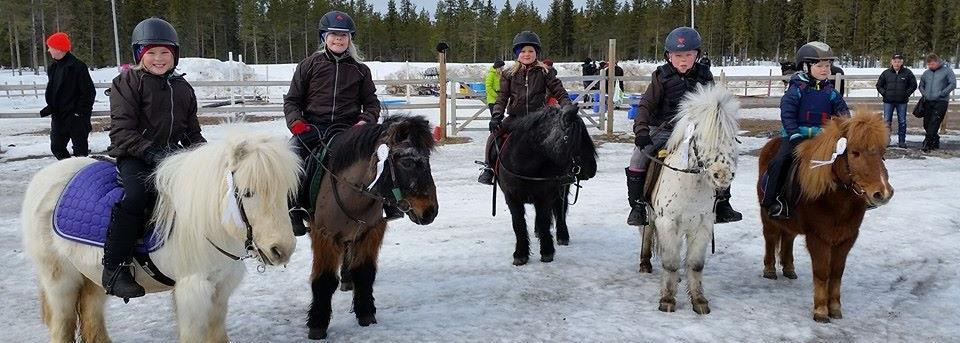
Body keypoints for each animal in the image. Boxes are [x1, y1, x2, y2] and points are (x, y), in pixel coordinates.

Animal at [21, 130, 300, 343]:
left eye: (285, 191)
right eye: (248, 192)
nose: (281, 250)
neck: (205, 223)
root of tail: (45, 177)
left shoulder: (221, 288)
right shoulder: (193, 291)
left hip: (91, 275)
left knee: (91, 316)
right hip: (60, 279)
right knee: (63, 325)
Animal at [306, 116, 436, 342]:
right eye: (407, 162)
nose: (431, 211)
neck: (351, 193)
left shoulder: (371, 232)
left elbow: (365, 273)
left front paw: (366, 313)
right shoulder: (324, 235)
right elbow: (324, 281)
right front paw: (317, 324)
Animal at [498, 105, 596, 266]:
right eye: (578, 140)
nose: (592, 169)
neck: (525, 165)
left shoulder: (545, 196)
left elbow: (544, 221)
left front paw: (547, 251)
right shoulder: (512, 198)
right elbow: (519, 224)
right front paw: (521, 253)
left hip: (562, 189)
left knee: (560, 210)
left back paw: (562, 235)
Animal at [640, 84, 740, 316]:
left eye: (732, 137)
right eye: (701, 137)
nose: (722, 175)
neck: (690, 185)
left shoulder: (703, 226)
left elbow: (694, 264)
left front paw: (699, 301)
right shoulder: (668, 223)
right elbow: (670, 262)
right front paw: (667, 300)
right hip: (651, 216)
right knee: (647, 233)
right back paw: (645, 264)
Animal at [760, 111, 896, 324]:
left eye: (882, 152)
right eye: (854, 152)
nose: (883, 193)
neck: (836, 198)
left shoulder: (847, 238)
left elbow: (837, 273)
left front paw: (835, 308)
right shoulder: (818, 237)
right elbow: (823, 273)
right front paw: (821, 311)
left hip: (791, 222)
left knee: (788, 238)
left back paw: (789, 269)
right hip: (768, 217)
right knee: (770, 238)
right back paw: (770, 270)